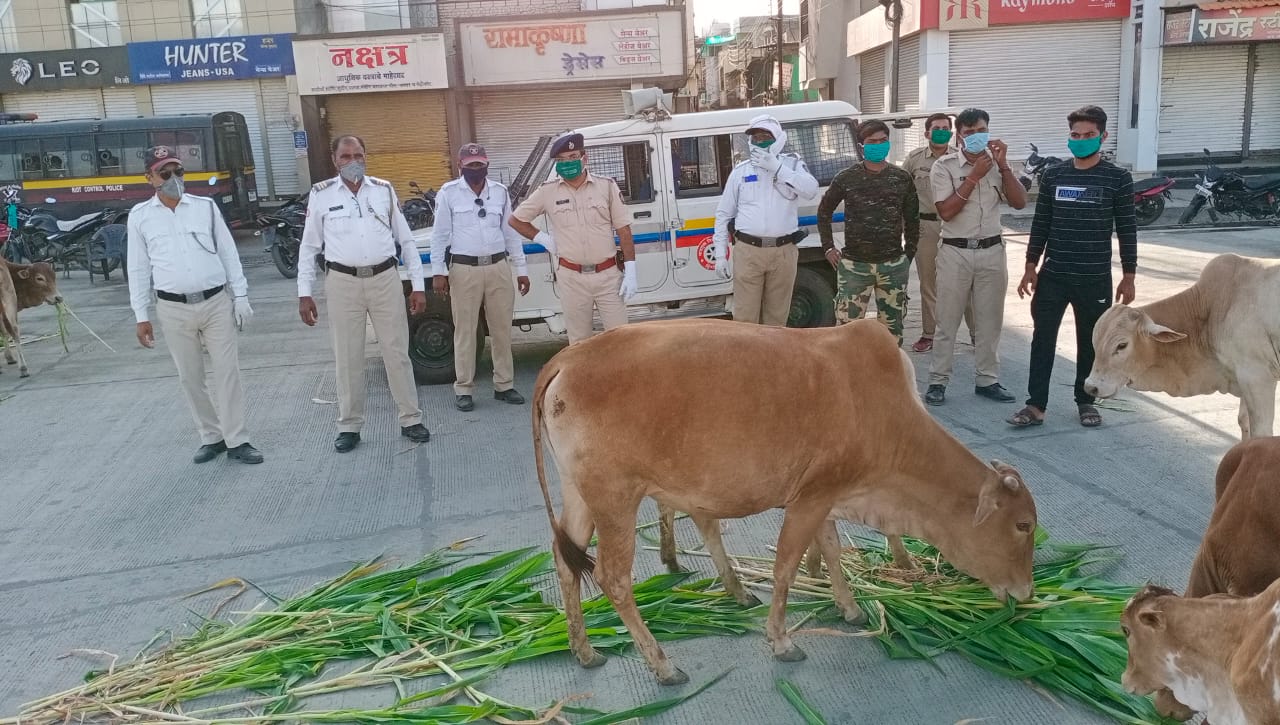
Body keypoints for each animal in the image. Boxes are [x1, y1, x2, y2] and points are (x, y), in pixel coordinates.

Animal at [529, 320, 1039, 686]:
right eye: (1023, 526)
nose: (1026, 593)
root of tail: (569, 356)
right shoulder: (810, 497)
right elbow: (786, 568)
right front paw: (781, 640)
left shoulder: (828, 494)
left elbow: (830, 550)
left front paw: (849, 608)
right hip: (616, 500)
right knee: (613, 578)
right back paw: (663, 665)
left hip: (580, 495)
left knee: (565, 560)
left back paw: (584, 650)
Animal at [1085, 252, 1280, 440]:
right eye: (1095, 342)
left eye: (1122, 345)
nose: (1090, 387)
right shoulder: (1243, 378)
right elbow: (1243, 421)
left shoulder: (1257, 376)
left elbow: (1261, 433)